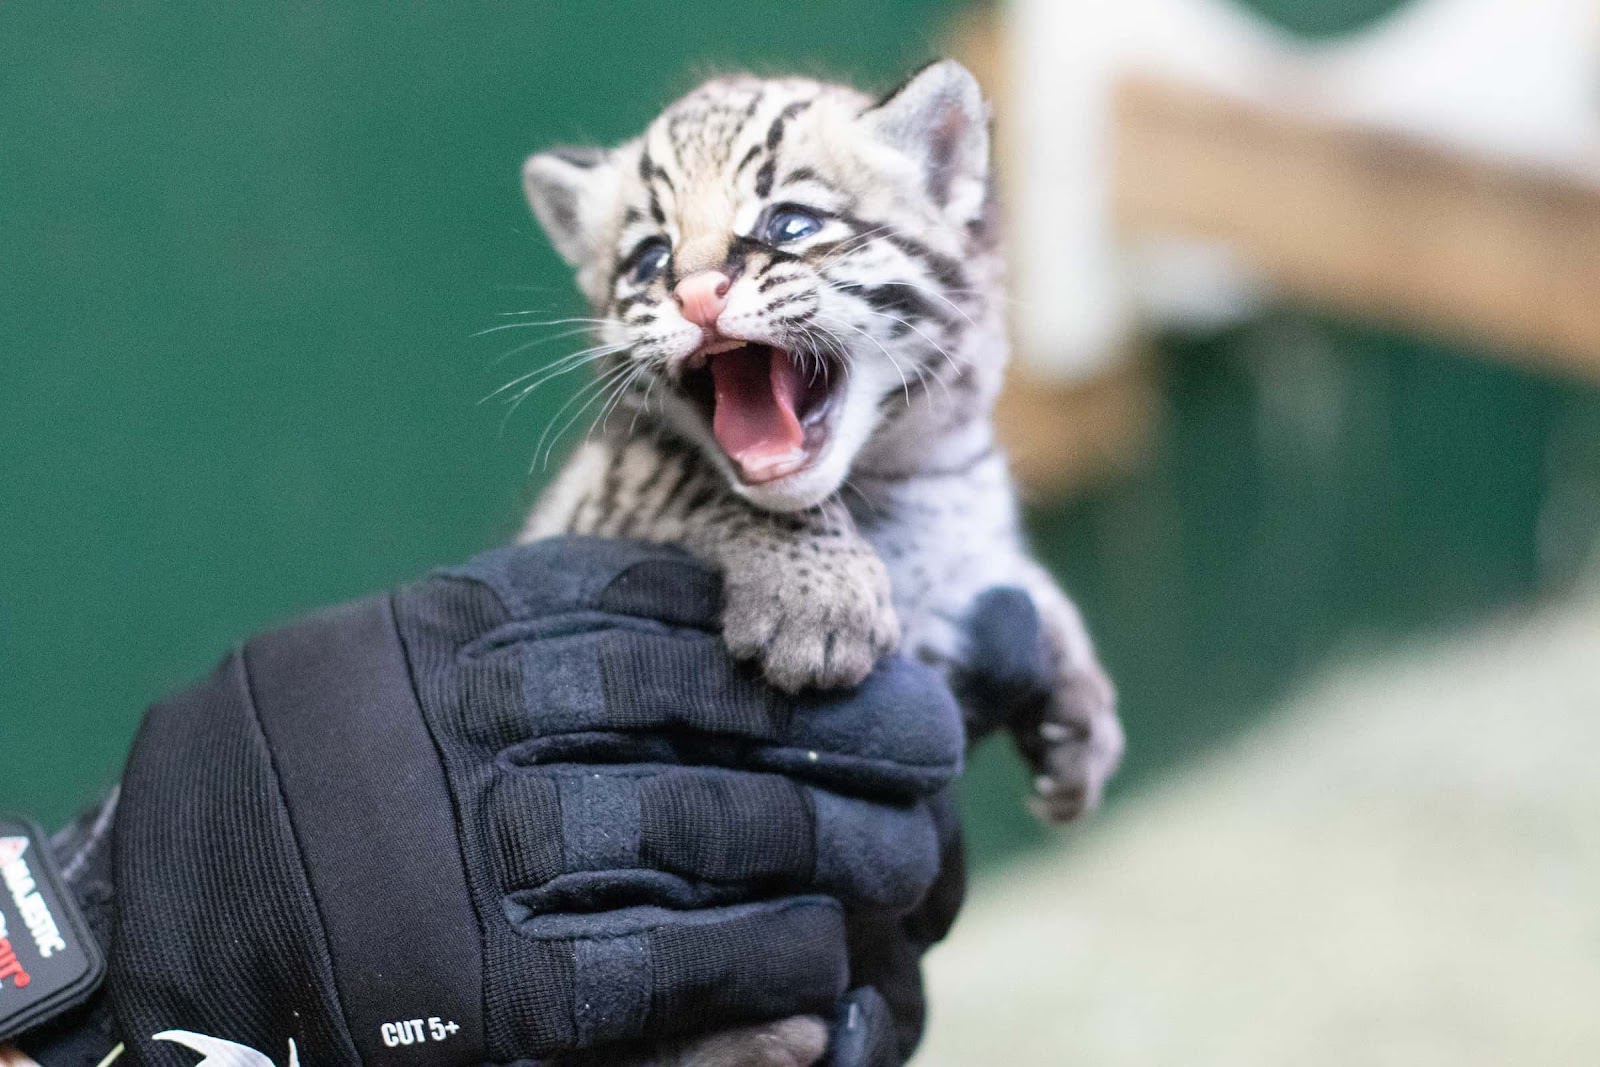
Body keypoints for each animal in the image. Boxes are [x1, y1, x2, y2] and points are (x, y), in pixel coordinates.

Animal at [518, 60, 1120, 1067]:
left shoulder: (967, 535)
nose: (696, 295)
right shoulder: (603, 490)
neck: (903, 471)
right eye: (648, 258)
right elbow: (689, 473)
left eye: (791, 224)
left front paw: (1081, 711)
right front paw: (819, 602)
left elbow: (1022, 584)